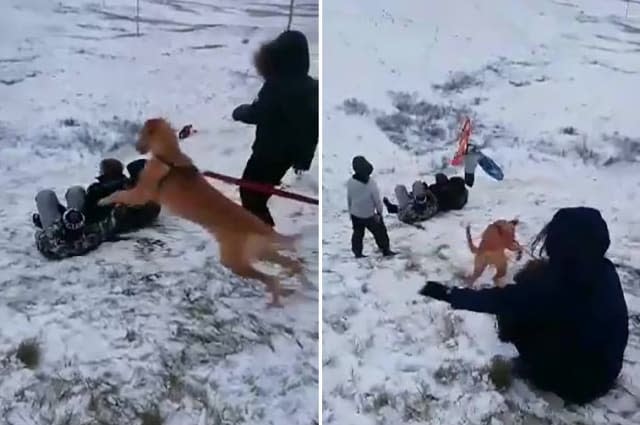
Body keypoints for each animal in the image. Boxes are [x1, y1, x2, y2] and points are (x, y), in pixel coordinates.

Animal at [99, 117, 308, 306]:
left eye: (142, 134)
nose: (136, 147)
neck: (168, 156)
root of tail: (263, 228)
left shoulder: (141, 194)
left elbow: (119, 193)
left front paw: (104, 201)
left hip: (235, 261)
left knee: (272, 279)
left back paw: (277, 299)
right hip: (261, 252)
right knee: (292, 264)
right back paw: (299, 285)